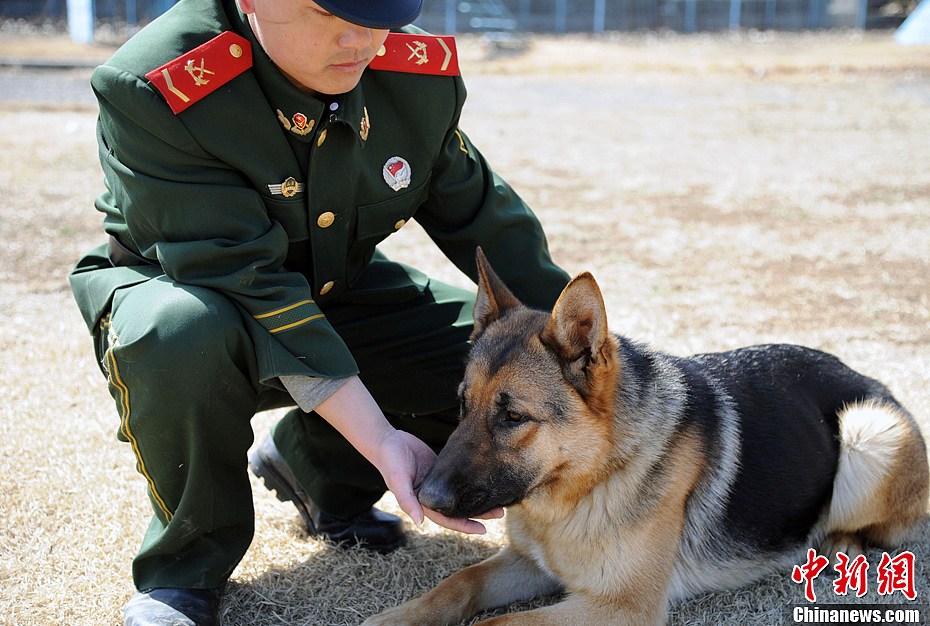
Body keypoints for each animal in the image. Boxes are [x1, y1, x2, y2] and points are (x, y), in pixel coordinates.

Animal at [360, 249, 920, 624]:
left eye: (514, 417)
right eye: (461, 404)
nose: (425, 497)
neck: (592, 478)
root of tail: (866, 376)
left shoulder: (620, 607)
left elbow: (496, 624)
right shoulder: (529, 563)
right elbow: (458, 582)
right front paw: (398, 616)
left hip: (869, 431)